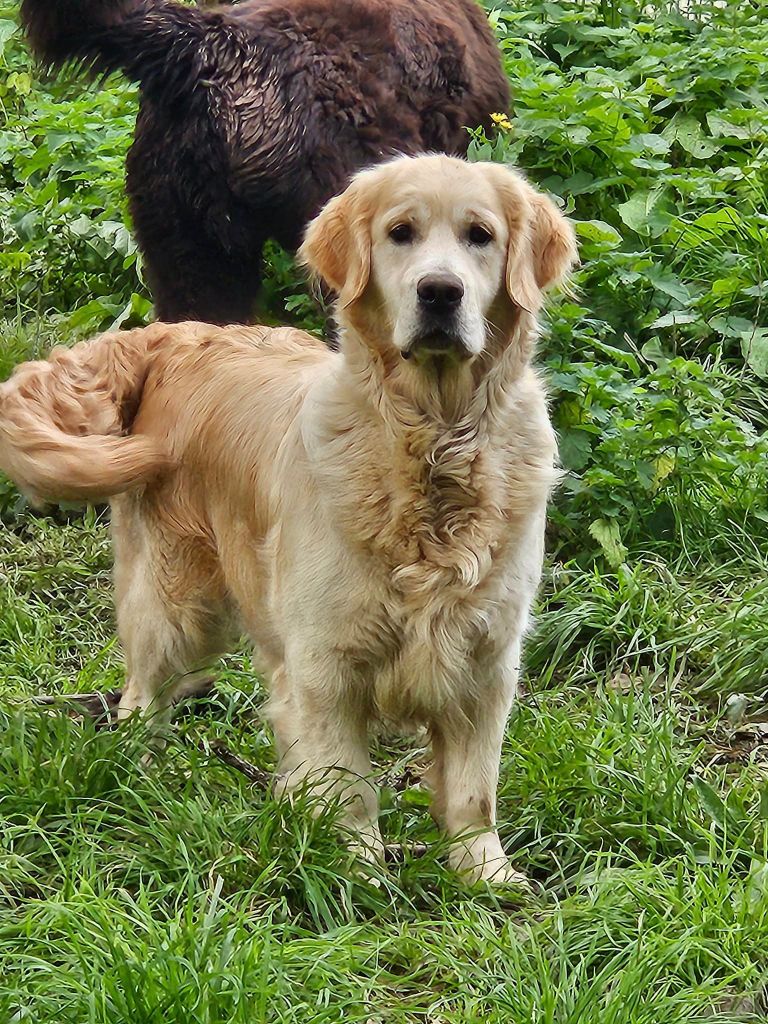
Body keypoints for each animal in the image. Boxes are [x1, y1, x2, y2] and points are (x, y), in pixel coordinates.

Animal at [0, 155, 577, 884]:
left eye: (481, 235)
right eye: (401, 233)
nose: (440, 293)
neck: (435, 444)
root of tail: (180, 332)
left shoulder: (486, 661)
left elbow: (475, 789)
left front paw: (485, 874)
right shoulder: (327, 662)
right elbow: (349, 781)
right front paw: (360, 873)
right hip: (176, 605)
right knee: (141, 695)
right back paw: (144, 770)